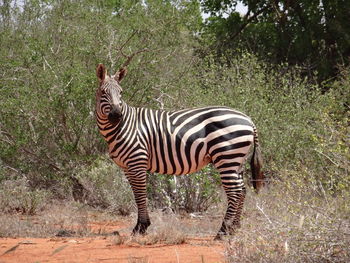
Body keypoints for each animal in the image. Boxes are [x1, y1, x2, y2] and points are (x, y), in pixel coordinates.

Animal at [94, 64, 264, 239]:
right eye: (103, 92)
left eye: (121, 92)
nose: (116, 115)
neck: (124, 127)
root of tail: (248, 119)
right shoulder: (127, 167)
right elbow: (136, 194)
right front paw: (141, 226)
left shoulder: (137, 160)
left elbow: (140, 194)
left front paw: (141, 227)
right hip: (237, 160)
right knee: (242, 190)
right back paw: (234, 228)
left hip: (226, 157)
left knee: (235, 192)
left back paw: (223, 231)